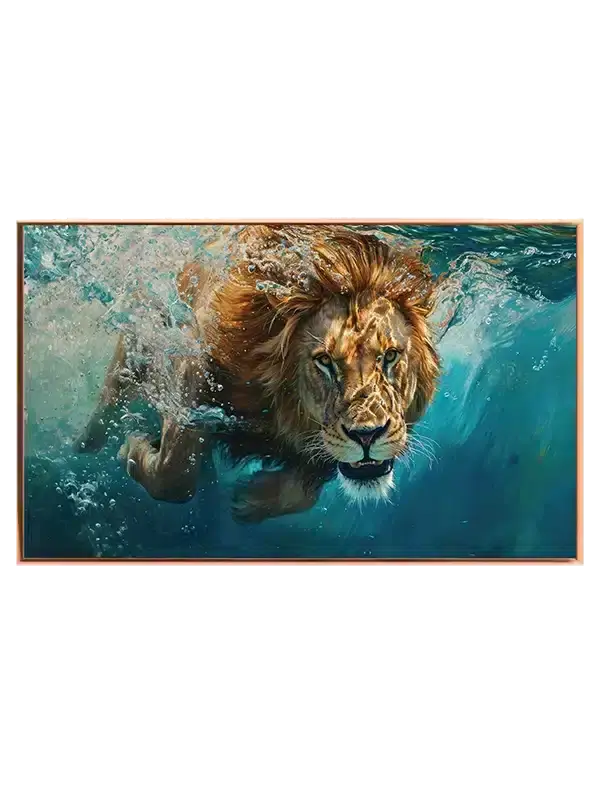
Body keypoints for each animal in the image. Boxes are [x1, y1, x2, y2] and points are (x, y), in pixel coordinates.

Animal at [75, 225, 441, 523]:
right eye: (324, 361)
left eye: (390, 356)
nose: (367, 436)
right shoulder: (193, 368)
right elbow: (174, 475)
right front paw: (133, 447)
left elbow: (304, 492)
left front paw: (249, 501)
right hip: (138, 334)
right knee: (108, 400)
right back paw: (85, 443)